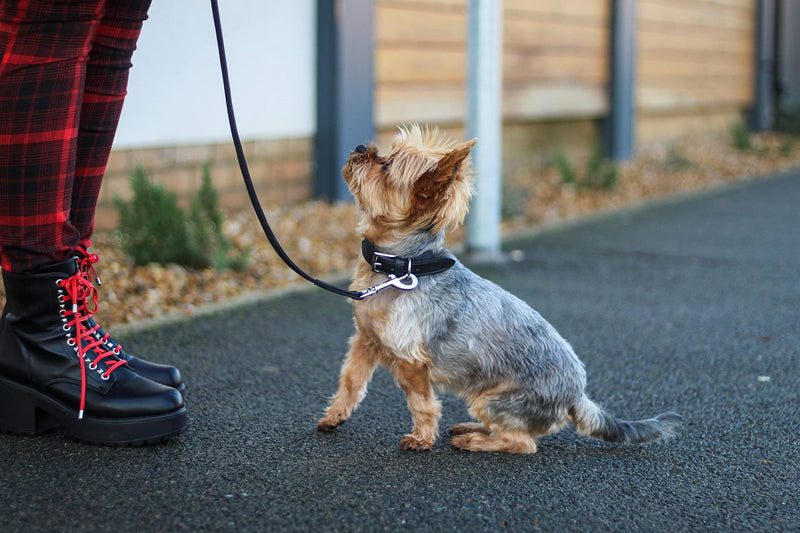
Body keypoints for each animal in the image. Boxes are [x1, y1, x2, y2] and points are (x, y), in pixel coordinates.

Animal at [316, 125, 680, 454]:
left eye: (387, 165)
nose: (361, 147)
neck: (402, 266)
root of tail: (578, 396)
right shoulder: (365, 340)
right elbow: (350, 381)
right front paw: (334, 416)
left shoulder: (412, 362)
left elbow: (422, 403)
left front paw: (421, 439)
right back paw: (471, 429)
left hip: (493, 399)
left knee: (521, 443)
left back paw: (475, 441)